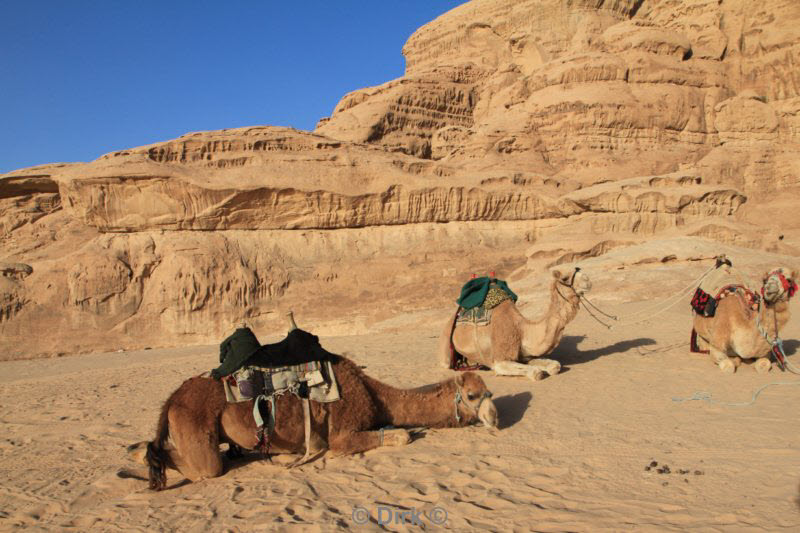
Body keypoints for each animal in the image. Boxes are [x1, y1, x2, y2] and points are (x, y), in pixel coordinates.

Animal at [141, 352, 496, 488]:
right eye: (473, 395)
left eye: (488, 391)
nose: (495, 418)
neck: (374, 394)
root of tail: (172, 397)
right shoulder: (342, 433)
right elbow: (400, 435)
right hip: (194, 425)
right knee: (202, 466)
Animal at [434, 270, 592, 378]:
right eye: (565, 278)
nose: (587, 279)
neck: (522, 330)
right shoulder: (500, 359)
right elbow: (536, 373)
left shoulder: (524, 355)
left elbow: (554, 366)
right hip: (446, 348)